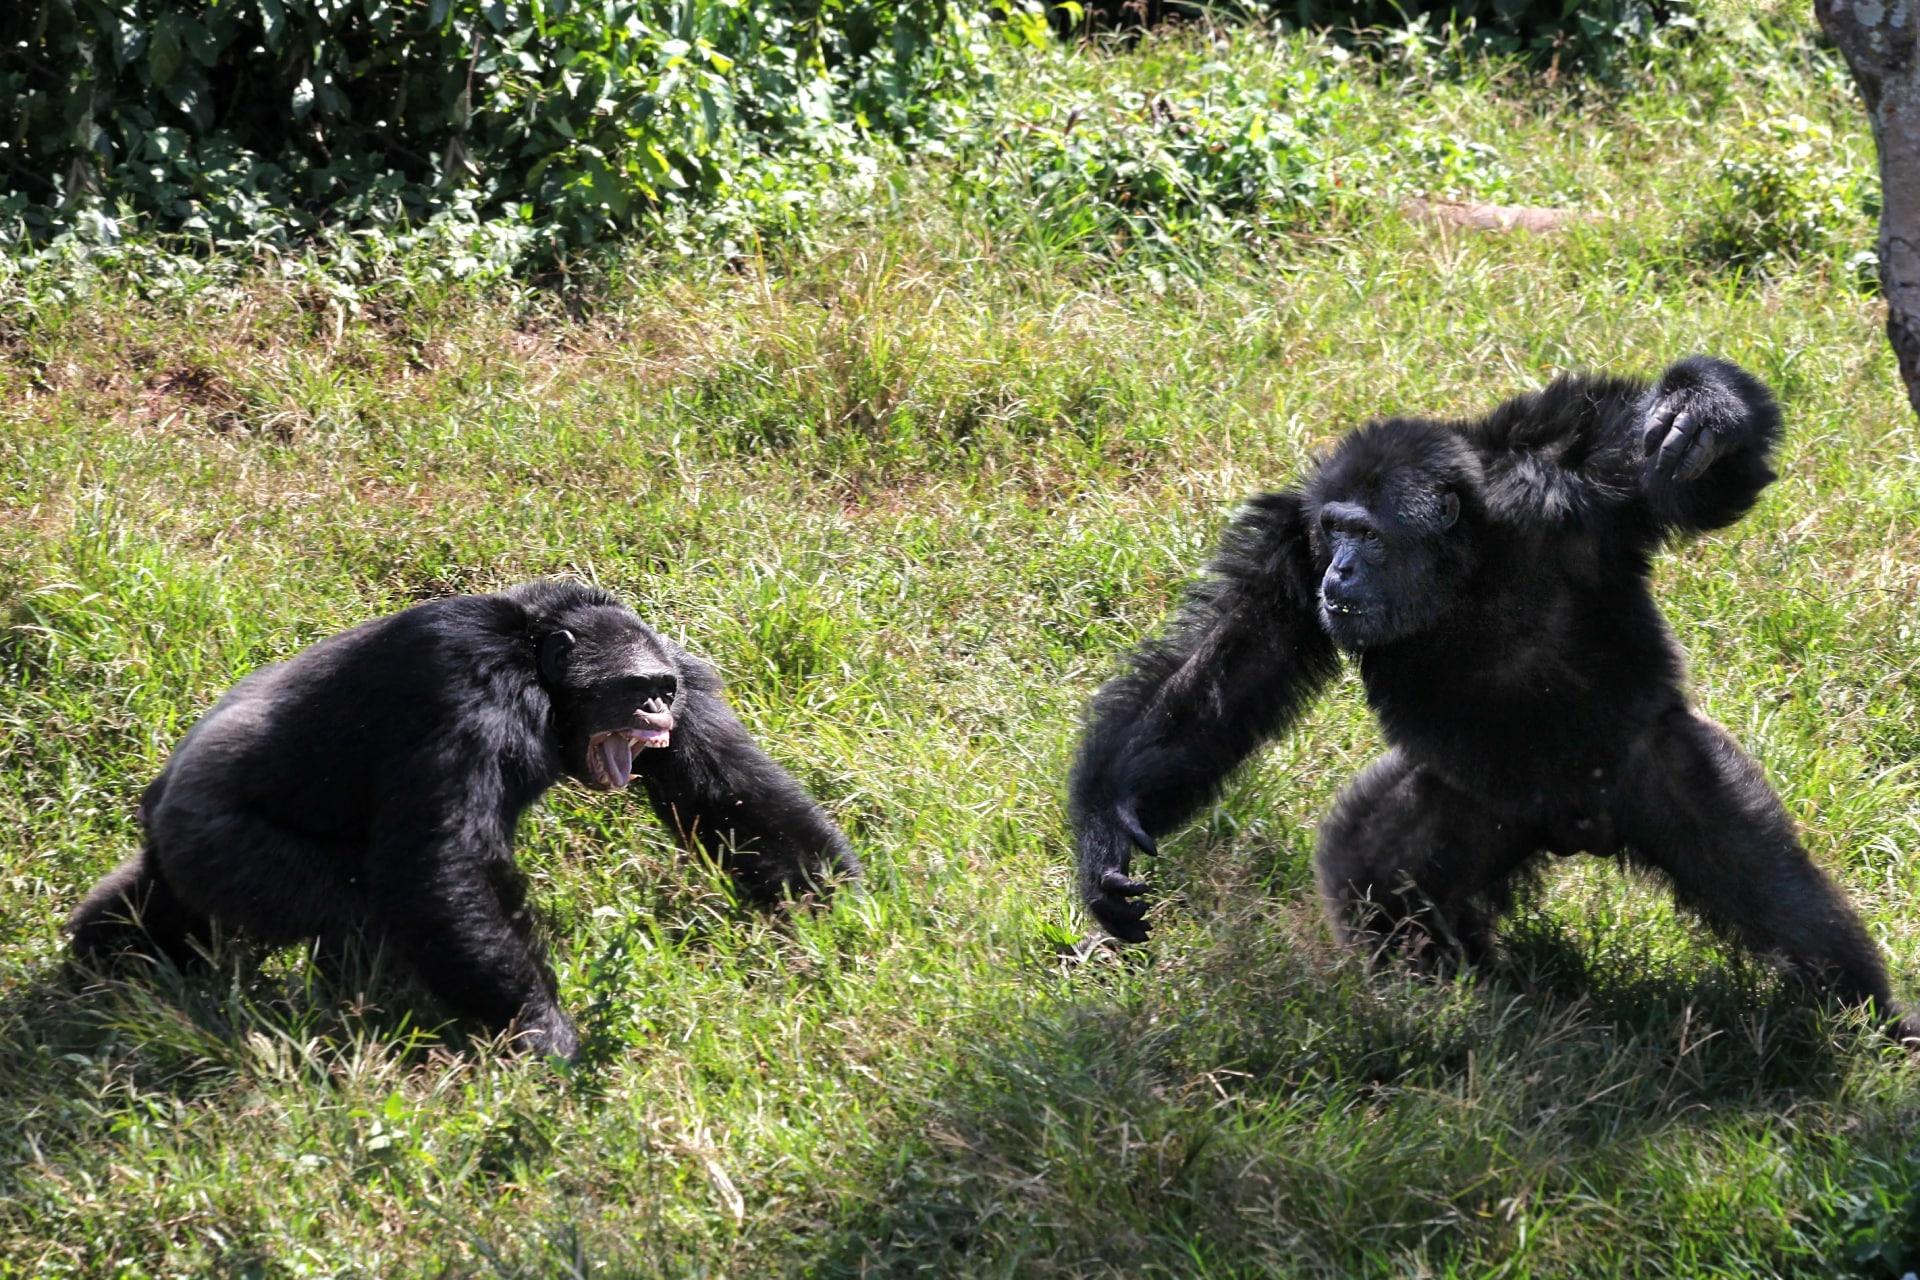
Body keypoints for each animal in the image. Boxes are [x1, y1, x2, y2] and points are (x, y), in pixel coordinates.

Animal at [71, 583, 856, 1059]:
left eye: (662, 689)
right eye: (636, 689)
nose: (658, 712)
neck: (536, 662)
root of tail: (158, 799)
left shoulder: (687, 672)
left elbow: (730, 795)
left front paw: (841, 919)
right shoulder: (464, 686)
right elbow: (441, 865)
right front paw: (543, 1034)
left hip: (184, 859)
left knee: (155, 909)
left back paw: (105, 956)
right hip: (228, 847)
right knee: (363, 918)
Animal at [1075, 351, 1912, 1043]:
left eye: (1367, 535)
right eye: (1335, 530)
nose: (1340, 570)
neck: (1462, 563)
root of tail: (1578, 827)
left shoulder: (1583, 478)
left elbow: (1707, 480)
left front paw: (1703, 407)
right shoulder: (1289, 553)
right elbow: (1221, 668)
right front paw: (1107, 831)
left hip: (1658, 770)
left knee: (1773, 889)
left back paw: (1871, 1023)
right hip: (1474, 806)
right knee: (1376, 876)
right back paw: (1439, 1003)